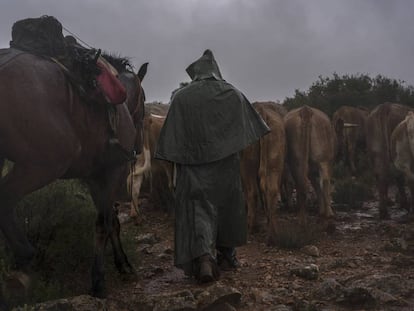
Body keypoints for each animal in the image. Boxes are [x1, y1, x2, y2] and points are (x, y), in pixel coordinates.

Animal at [0, 50, 148, 302]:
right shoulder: (112, 172)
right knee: (5, 198)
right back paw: (24, 258)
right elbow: (104, 223)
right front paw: (98, 280)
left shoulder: (95, 179)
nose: (137, 147)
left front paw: (122, 264)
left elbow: (112, 222)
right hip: (43, 166)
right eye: (145, 100)